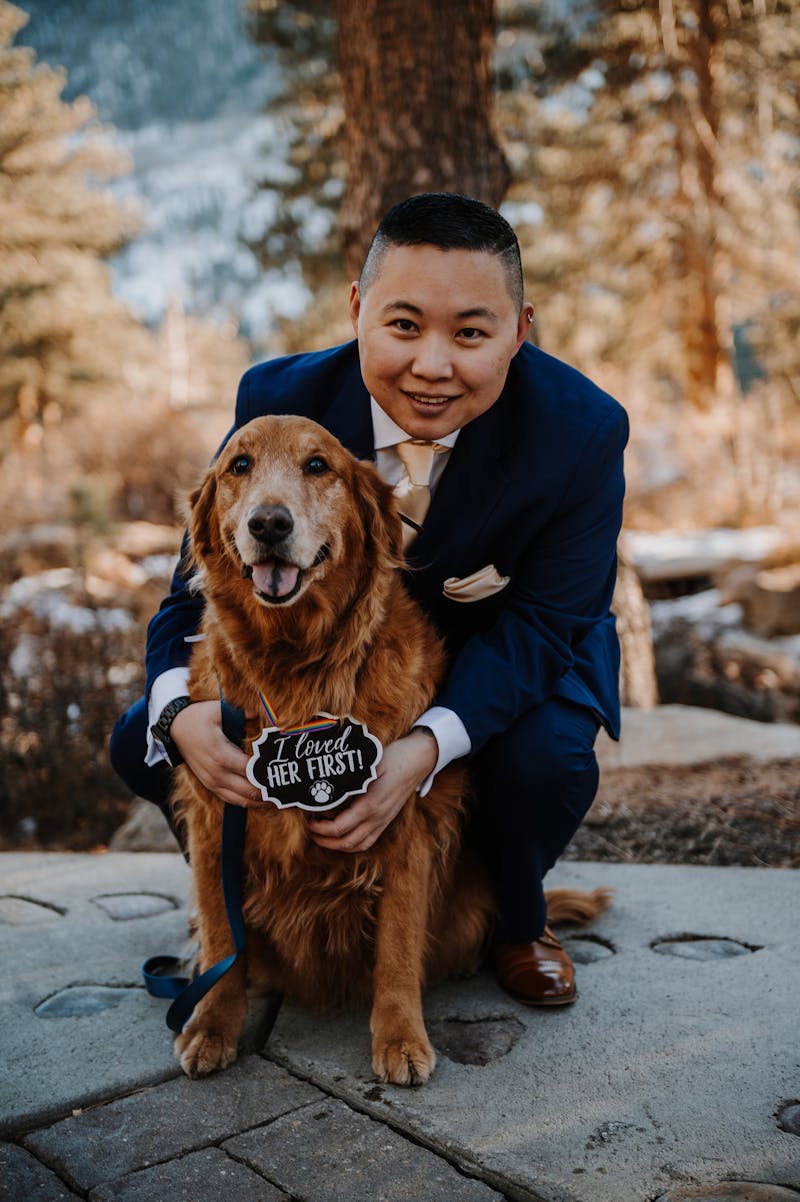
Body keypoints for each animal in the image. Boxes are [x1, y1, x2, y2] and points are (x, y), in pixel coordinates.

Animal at [174, 415, 607, 1091]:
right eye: (239, 466)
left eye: (318, 465)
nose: (268, 524)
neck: (298, 665)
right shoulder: (215, 813)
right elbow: (223, 938)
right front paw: (213, 1024)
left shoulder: (404, 822)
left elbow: (398, 948)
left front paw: (401, 1037)